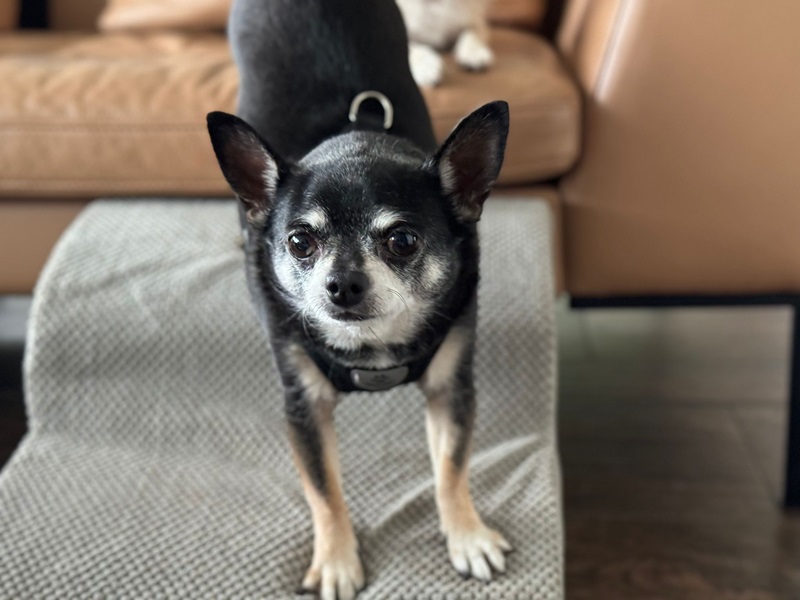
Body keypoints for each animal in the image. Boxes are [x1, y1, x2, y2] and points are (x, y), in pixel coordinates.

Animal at [206, 0, 510, 597]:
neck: (373, 346)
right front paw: (337, 560)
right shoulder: (303, 406)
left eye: (403, 241)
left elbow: (451, 468)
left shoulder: (451, 389)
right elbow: (324, 491)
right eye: (300, 243)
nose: (341, 284)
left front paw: (466, 535)